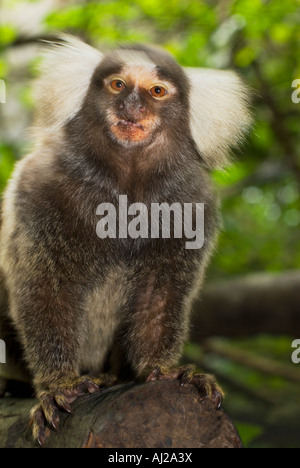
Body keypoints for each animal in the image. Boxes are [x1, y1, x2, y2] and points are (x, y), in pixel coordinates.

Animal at [0, 35, 252, 442]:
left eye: (157, 91)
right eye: (118, 85)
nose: (132, 106)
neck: (125, 185)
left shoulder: (193, 202)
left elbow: (160, 296)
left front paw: (162, 370)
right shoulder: (37, 185)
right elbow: (43, 290)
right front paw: (58, 385)